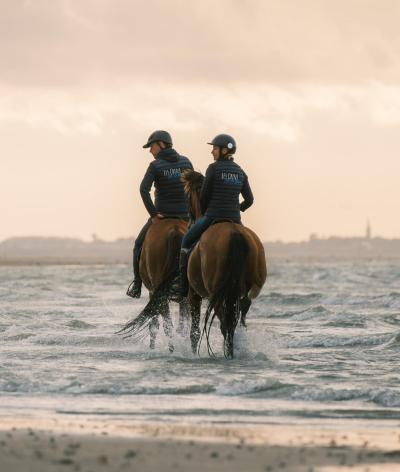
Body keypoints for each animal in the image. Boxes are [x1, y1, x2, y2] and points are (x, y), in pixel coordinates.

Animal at [117, 218, 189, 350]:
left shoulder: (153, 292)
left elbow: (154, 323)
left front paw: (152, 347)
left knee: (167, 324)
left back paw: (171, 349)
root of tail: (175, 231)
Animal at [183, 170, 268, 358]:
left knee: (225, 324)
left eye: (187, 195)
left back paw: (228, 352)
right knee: (236, 320)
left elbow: (194, 331)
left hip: (216, 293)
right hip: (241, 291)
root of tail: (235, 234)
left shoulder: (194, 294)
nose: (189, 219)